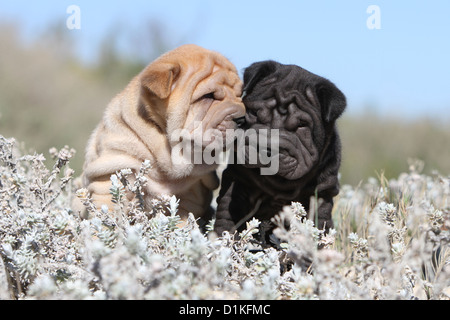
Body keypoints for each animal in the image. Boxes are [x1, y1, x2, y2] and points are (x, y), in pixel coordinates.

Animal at [76, 44, 246, 222]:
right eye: (208, 96)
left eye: (240, 95)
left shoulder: (189, 198)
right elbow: (106, 214)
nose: (242, 118)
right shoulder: (109, 177)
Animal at [213, 59, 346, 235]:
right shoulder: (237, 178)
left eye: (301, 126)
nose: (266, 149)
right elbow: (227, 213)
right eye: (254, 113)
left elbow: (319, 221)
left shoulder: (322, 191)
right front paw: (223, 236)